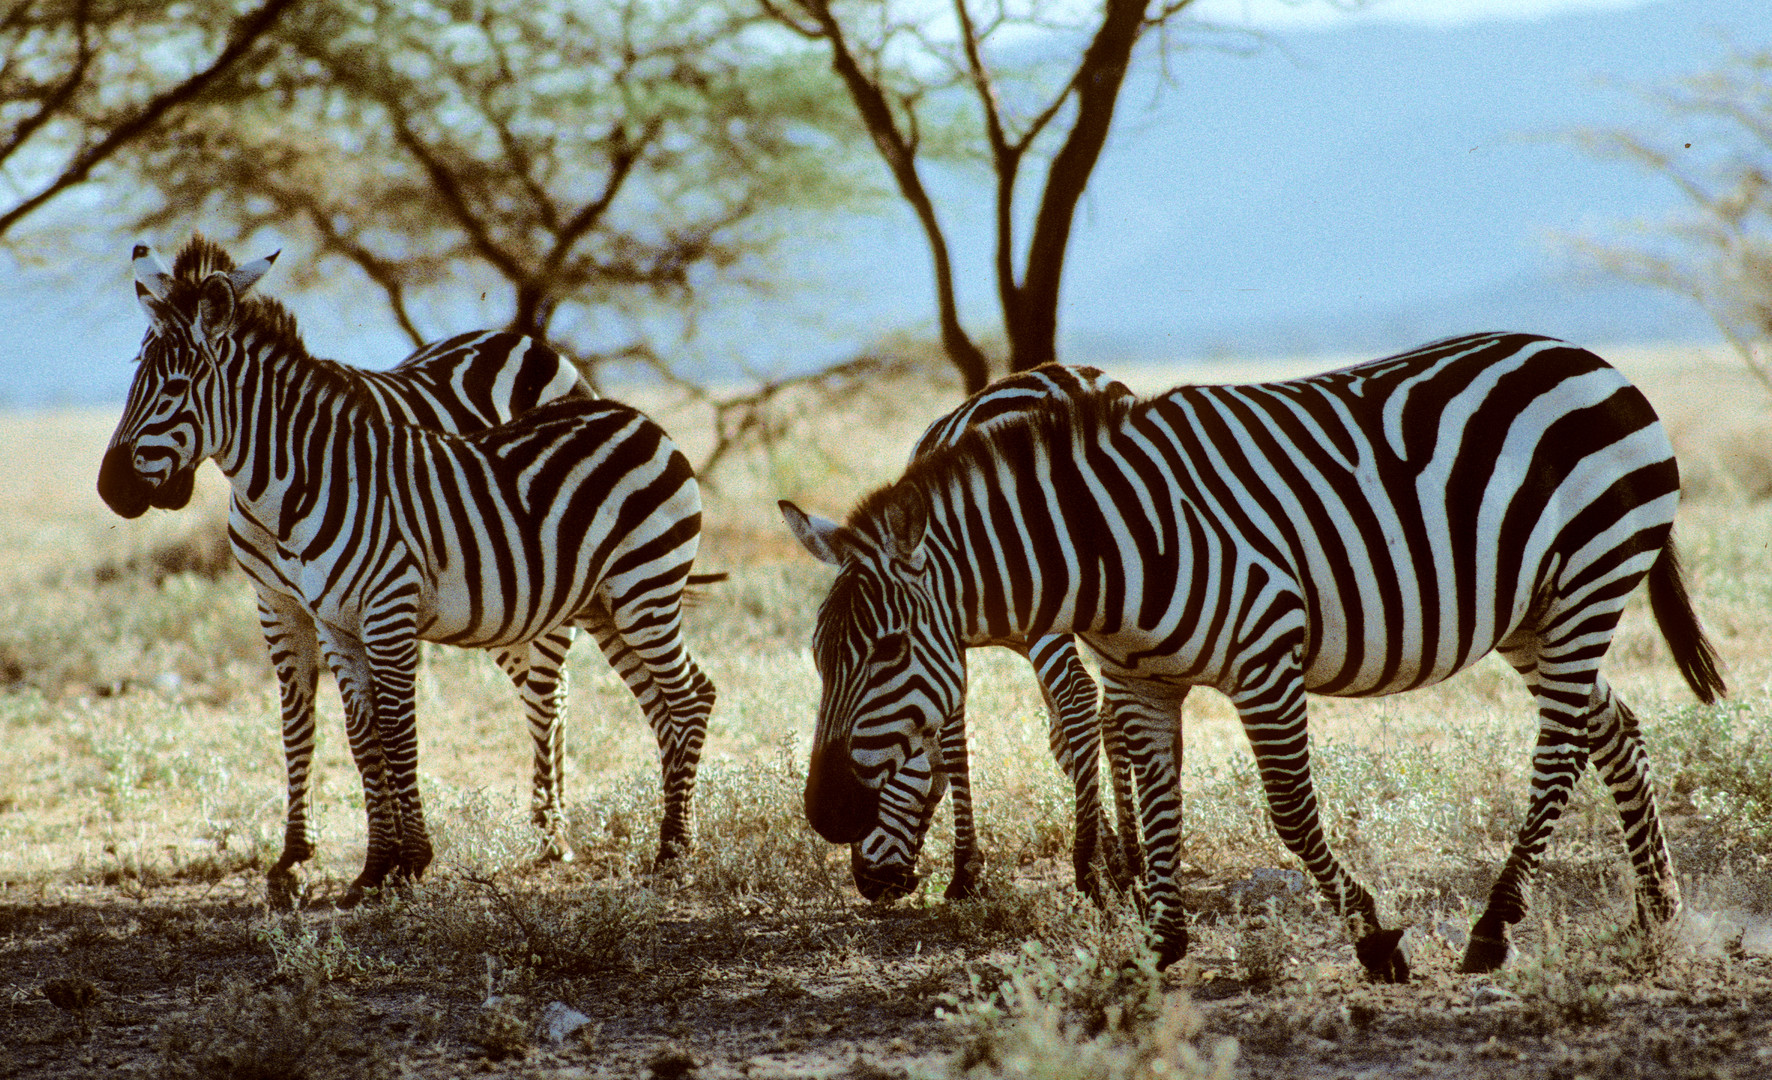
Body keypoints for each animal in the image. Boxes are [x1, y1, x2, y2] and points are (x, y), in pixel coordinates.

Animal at [97, 237, 715, 907]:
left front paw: (412, 861)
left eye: (175, 386)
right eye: (134, 375)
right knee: (656, 704)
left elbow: (397, 732)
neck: (301, 486)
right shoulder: (329, 619)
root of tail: (631, 414)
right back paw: (668, 836)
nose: (111, 489)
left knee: (683, 695)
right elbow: (359, 734)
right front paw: (372, 868)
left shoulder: (387, 609)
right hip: (605, 602)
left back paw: (667, 850)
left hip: (642, 587)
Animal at [847, 363, 1148, 900]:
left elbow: (952, 737)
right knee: (1109, 708)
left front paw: (965, 870)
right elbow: (1062, 740)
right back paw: (1132, 859)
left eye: (870, 781)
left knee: (1079, 696)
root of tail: (1077, 384)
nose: (868, 885)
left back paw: (1084, 870)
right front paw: (1115, 855)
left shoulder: (941, 631)